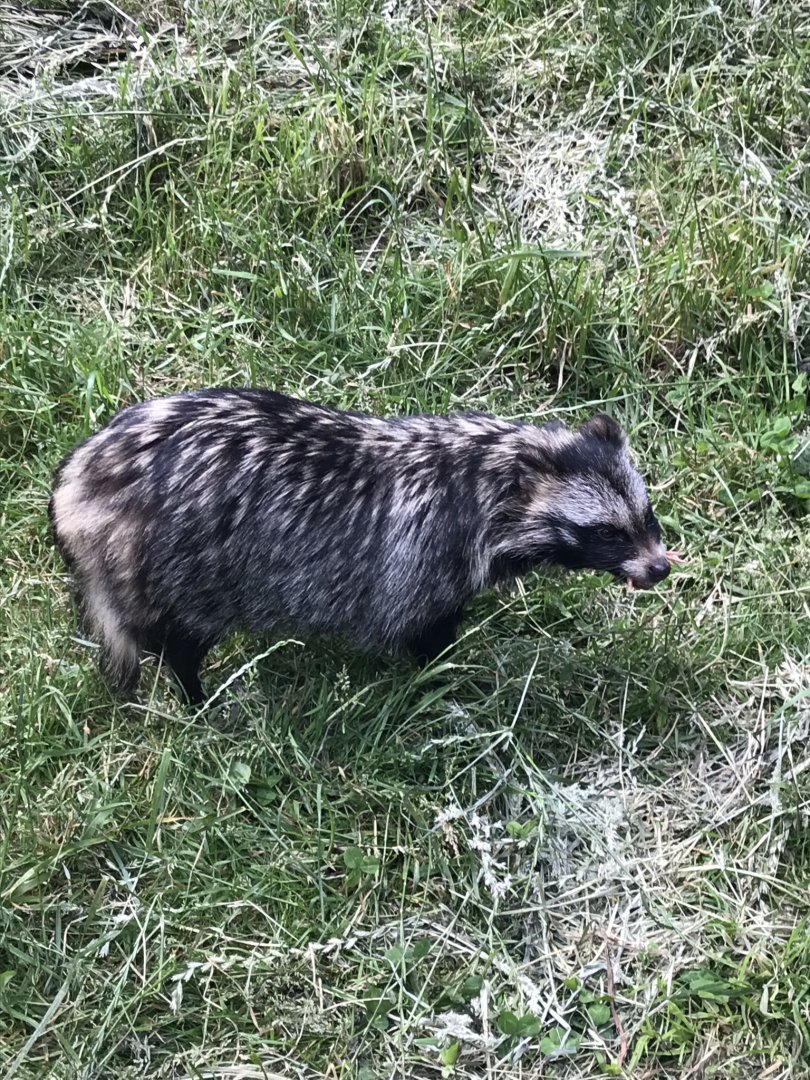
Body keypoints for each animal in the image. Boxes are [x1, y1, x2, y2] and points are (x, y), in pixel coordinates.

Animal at [49, 389, 670, 704]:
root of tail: (82, 481)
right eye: (608, 532)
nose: (660, 568)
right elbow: (427, 634)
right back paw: (194, 688)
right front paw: (447, 678)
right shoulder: (425, 558)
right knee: (179, 635)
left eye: (647, 514)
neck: (484, 472)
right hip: (188, 561)